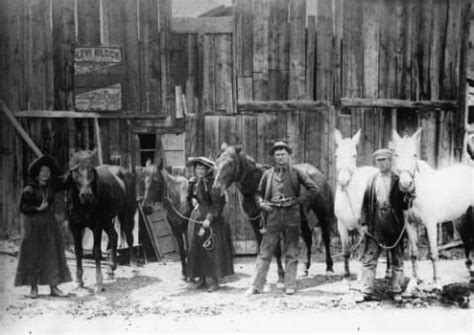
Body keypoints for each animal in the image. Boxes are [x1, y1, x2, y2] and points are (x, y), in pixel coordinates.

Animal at [66, 151, 137, 292]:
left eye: (92, 171)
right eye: (75, 172)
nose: (86, 195)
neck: (83, 205)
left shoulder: (96, 226)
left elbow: (97, 252)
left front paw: (98, 282)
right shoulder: (75, 227)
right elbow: (78, 251)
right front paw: (78, 281)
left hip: (126, 214)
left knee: (129, 237)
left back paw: (132, 265)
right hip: (107, 219)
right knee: (114, 236)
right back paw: (110, 269)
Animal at [213, 143, 336, 280]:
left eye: (231, 162)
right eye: (217, 161)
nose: (216, 188)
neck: (255, 185)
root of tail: (317, 173)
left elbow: (276, 249)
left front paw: (281, 274)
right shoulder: (254, 221)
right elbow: (261, 246)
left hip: (323, 213)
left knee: (326, 238)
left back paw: (329, 268)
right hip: (302, 216)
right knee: (308, 238)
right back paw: (305, 268)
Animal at [336, 129, 380, 278]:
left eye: (354, 155)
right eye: (336, 154)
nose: (343, 182)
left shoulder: (362, 229)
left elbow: (362, 253)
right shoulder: (341, 226)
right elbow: (345, 251)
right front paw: (346, 273)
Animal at [392, 128, 474, 284]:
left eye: (414, 154)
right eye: (396, 154)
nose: (405, 184)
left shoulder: (430, 224)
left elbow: (433, 253)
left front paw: (437, 282)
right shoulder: (410, 225)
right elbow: (413, 254)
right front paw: (414, 281)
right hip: (461, 217)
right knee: (467, 239)